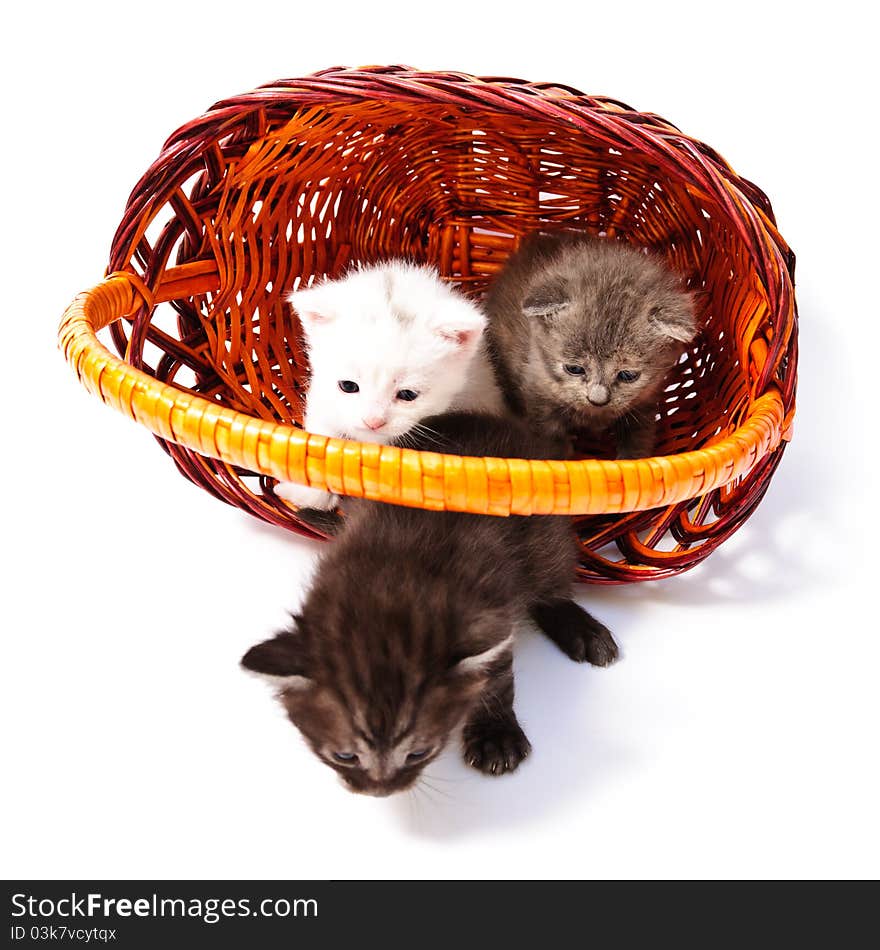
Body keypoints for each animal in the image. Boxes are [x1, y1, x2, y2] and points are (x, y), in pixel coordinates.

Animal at [242, 412, 620, 800]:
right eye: (344, 756)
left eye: (419, 753)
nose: (380, 791)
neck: (390, 583)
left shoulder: (491, 611)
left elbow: (497, 677)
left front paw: (495, 734)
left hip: (546, 537)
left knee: (551, 582)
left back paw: (583, 631)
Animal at [278, 260, 506, 510]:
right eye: (348, 386)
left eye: (407, 395)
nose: (373, 422)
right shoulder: (324, 399)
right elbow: (320, 442)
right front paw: (309, 495)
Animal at [484, 232, 696, 460]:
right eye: (574, 369)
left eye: (628, 375)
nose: (597, 400)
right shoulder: (537, 397)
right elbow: (548, 439)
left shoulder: (645, 401)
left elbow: (639, 436)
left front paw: (630, 460)